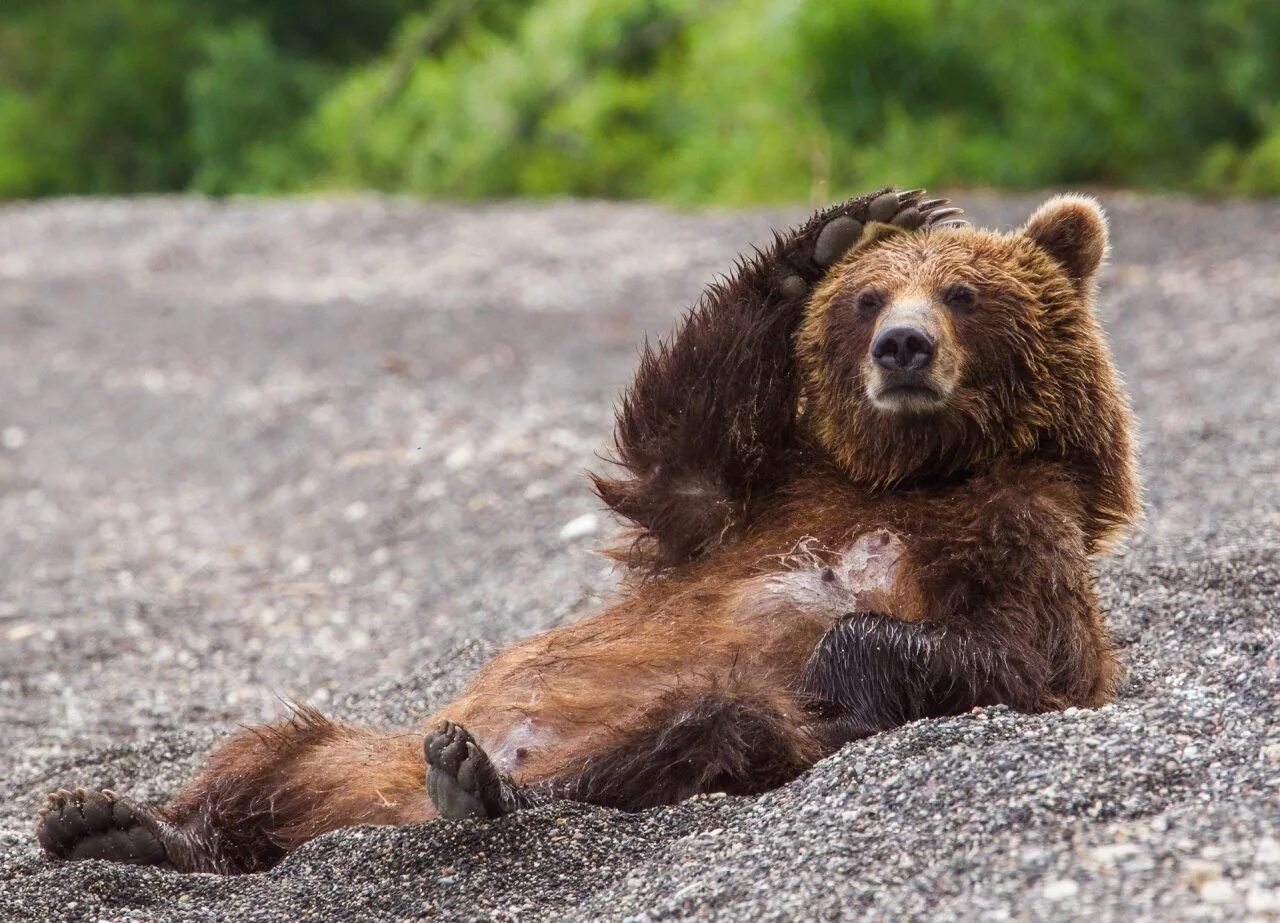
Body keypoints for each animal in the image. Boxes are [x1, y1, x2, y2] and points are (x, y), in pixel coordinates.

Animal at [35, 186, 1141, 870]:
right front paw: (831, 233)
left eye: (962, 290)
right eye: (867, 298)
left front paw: (844, 660)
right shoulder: (752, 500)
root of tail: (369, 820)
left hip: (679, 727)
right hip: (350, 750)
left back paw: (483, 786)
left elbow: (1029, 657)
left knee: (704, 728)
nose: (902, 345)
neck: (905, 472)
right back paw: (114, 824)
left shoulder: (1015, 530)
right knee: (265, 747)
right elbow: (675, 444)